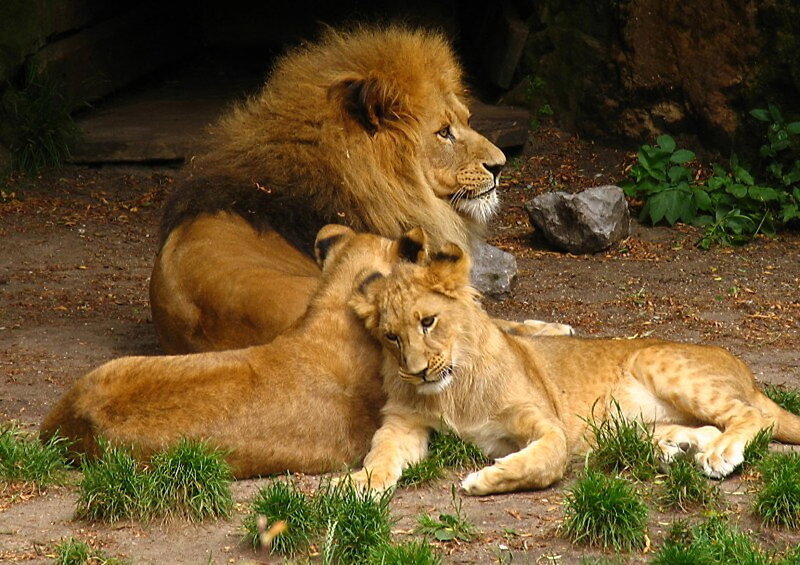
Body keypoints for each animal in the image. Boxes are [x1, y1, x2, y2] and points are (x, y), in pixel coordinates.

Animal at [347, 239, 800, 495]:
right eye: (391, 337)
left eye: (428, 321)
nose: (418, 371)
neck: (452, 389)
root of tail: (748, 374)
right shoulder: (404, 422)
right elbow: (381, 453)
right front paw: (357, 485)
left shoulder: (545, 423)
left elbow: (545, 460)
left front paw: (487, 478)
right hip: (627, 426)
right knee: (705, 426)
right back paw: (679, 448)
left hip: (657, 359)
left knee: (753, 416)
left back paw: (719, 453)